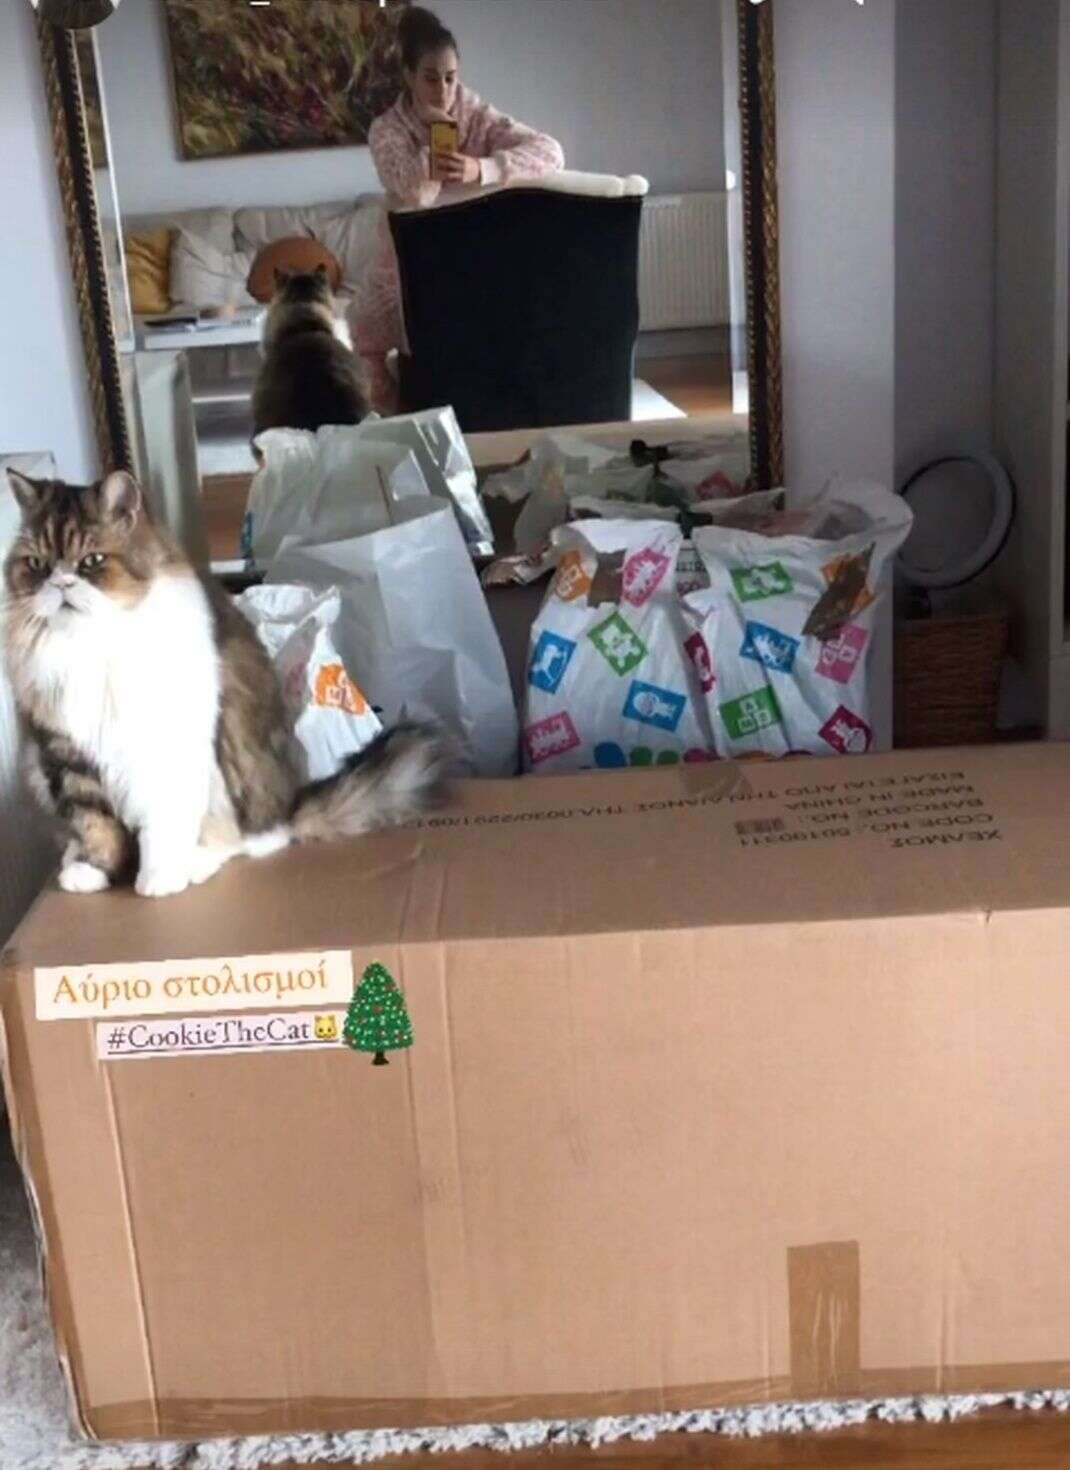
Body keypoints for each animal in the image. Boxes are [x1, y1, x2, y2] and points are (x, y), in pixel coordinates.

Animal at [1, 468, 444, 898]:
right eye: (38, 564)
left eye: (91, 560)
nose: (60, 583)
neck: (85, 645)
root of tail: (291, 803)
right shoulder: (67, 753)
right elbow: (94, 823)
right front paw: (92, 870)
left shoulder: (160, 748)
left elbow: (161, 826)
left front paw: (159, 879)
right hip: (38, 767)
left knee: (252, 841)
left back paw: (194, 865)